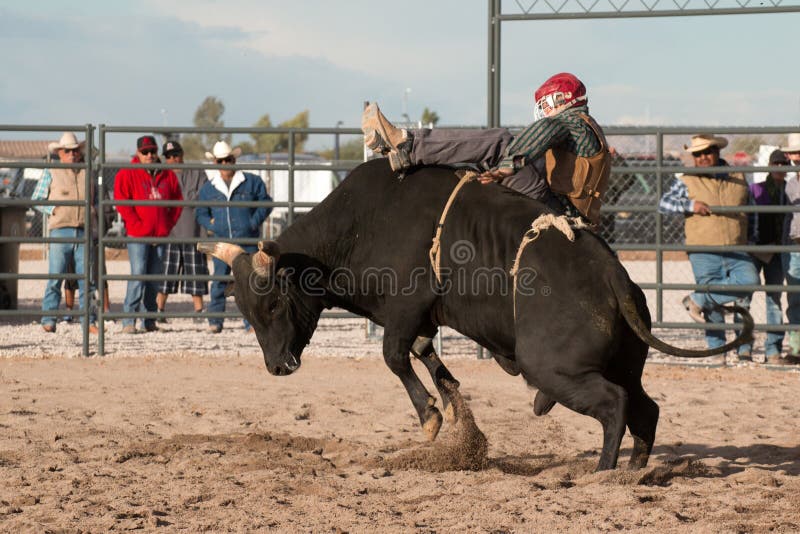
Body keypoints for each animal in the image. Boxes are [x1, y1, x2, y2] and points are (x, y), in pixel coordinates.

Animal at [198, 160, 752, 474]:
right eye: (245, 310)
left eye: (273, 303)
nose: (277, 366)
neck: (359, 226)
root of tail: (612, 275)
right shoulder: (424, 320)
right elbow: (429, 359)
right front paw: (456, 413)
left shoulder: (406, 306)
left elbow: (394, 356)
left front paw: (431, 418)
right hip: (622, 362)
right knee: (646, 407)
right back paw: (636, 470)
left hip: (554, 367)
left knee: (615, 404)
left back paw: (603, 470)